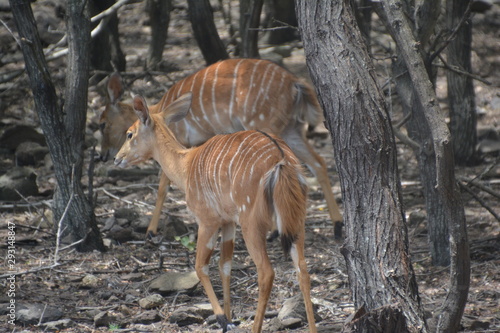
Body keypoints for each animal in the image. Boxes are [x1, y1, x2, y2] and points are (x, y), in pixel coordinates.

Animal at [102, 59, 344, 236]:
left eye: (103, 123)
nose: (108, 156)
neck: (161, 109)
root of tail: (295, 83)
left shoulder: (183, 139)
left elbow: (163, 185)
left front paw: (151, 231)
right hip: (291, 129)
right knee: (317, 163)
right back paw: (337, 225)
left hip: (267, 124)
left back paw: (275, 231)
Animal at [114, 93, 316, 332]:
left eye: (130, 133)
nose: (116, 158)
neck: (185, 165)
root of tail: (282, 161)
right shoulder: (228, 221)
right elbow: (225, 266)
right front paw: (229, 317)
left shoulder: (207, 219)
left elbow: (200, 266)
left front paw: (223, 319)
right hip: (295, 219)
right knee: (303, 269)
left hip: (252, 222)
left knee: (266, 272)